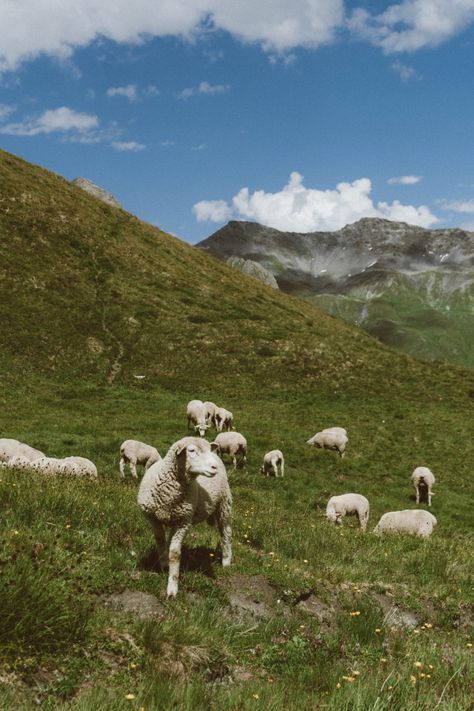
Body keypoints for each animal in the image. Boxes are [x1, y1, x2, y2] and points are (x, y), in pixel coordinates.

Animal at [136, 436, 232, 596]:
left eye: (208, 449)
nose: (214, 467)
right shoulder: (153, 518)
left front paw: (172, 587)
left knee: (226, 531)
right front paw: (164, 564)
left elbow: (175, 553)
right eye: (191, 450)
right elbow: (160, 540)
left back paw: (226, 560)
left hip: (224, 503)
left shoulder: (184, 522)